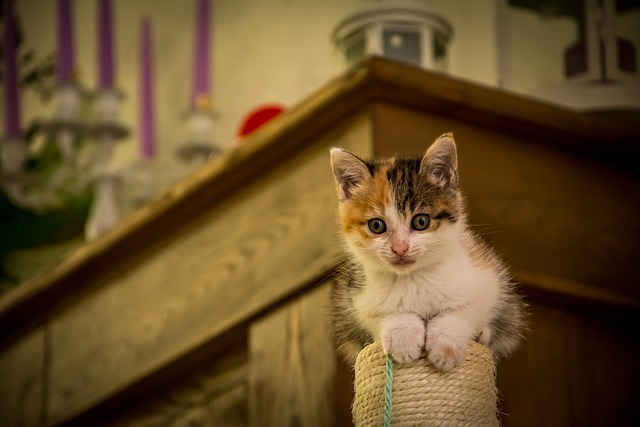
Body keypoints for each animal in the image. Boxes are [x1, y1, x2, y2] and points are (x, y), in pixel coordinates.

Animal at [328, 133, 528, 372]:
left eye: (421, 221)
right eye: (376, 226)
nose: (400, 248)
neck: (414, 278)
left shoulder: (488, 281)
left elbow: (463, 310)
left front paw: (445, 344)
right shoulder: (356, 300)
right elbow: (382, 312)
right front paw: (403, 336)